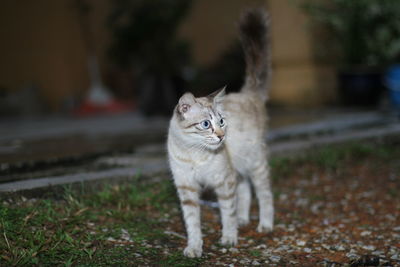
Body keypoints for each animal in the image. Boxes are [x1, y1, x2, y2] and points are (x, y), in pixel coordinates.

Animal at [167, 8, 274, 260]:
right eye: (206, 124)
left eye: (222, 121)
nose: (221, 136)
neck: (194, 153)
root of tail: (247, 93)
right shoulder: (187, 189)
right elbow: (192, 224)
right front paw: (194, 247)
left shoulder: (224, 183)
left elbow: (227, 213)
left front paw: (228, 238)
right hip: (240, 167)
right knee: (245, 189)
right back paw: (244, 219)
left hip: (254, 163)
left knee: (264, 194)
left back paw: (264, 224)